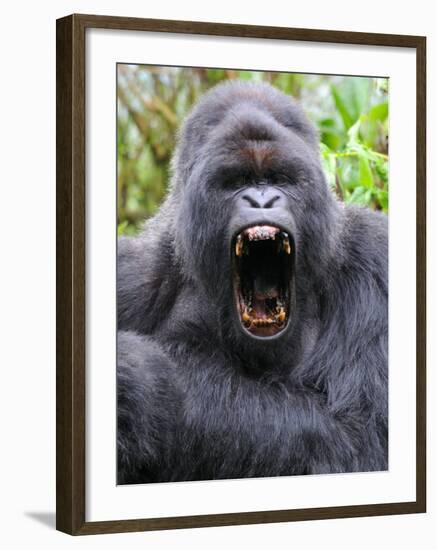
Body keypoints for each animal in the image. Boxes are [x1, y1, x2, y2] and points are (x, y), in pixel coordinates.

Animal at [116, 80, 388, 486]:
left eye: (279, 180)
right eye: (237, 182)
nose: (262, 199)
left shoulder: (374, 263)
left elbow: (363, 437)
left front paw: (147, 384)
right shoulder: (130, 276)